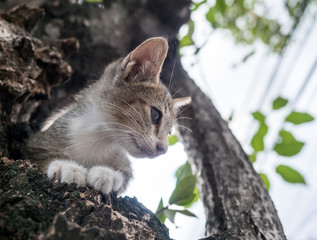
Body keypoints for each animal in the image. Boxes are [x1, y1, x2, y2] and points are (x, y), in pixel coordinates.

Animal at [26, 38, 190, 195]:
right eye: (155, 114)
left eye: (169, 132)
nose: (163, 149)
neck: (98, 139)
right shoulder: (35, 140)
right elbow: (42, 153)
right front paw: (66, 166)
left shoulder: (126, 165)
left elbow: (124, 174)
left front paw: (108, 174)